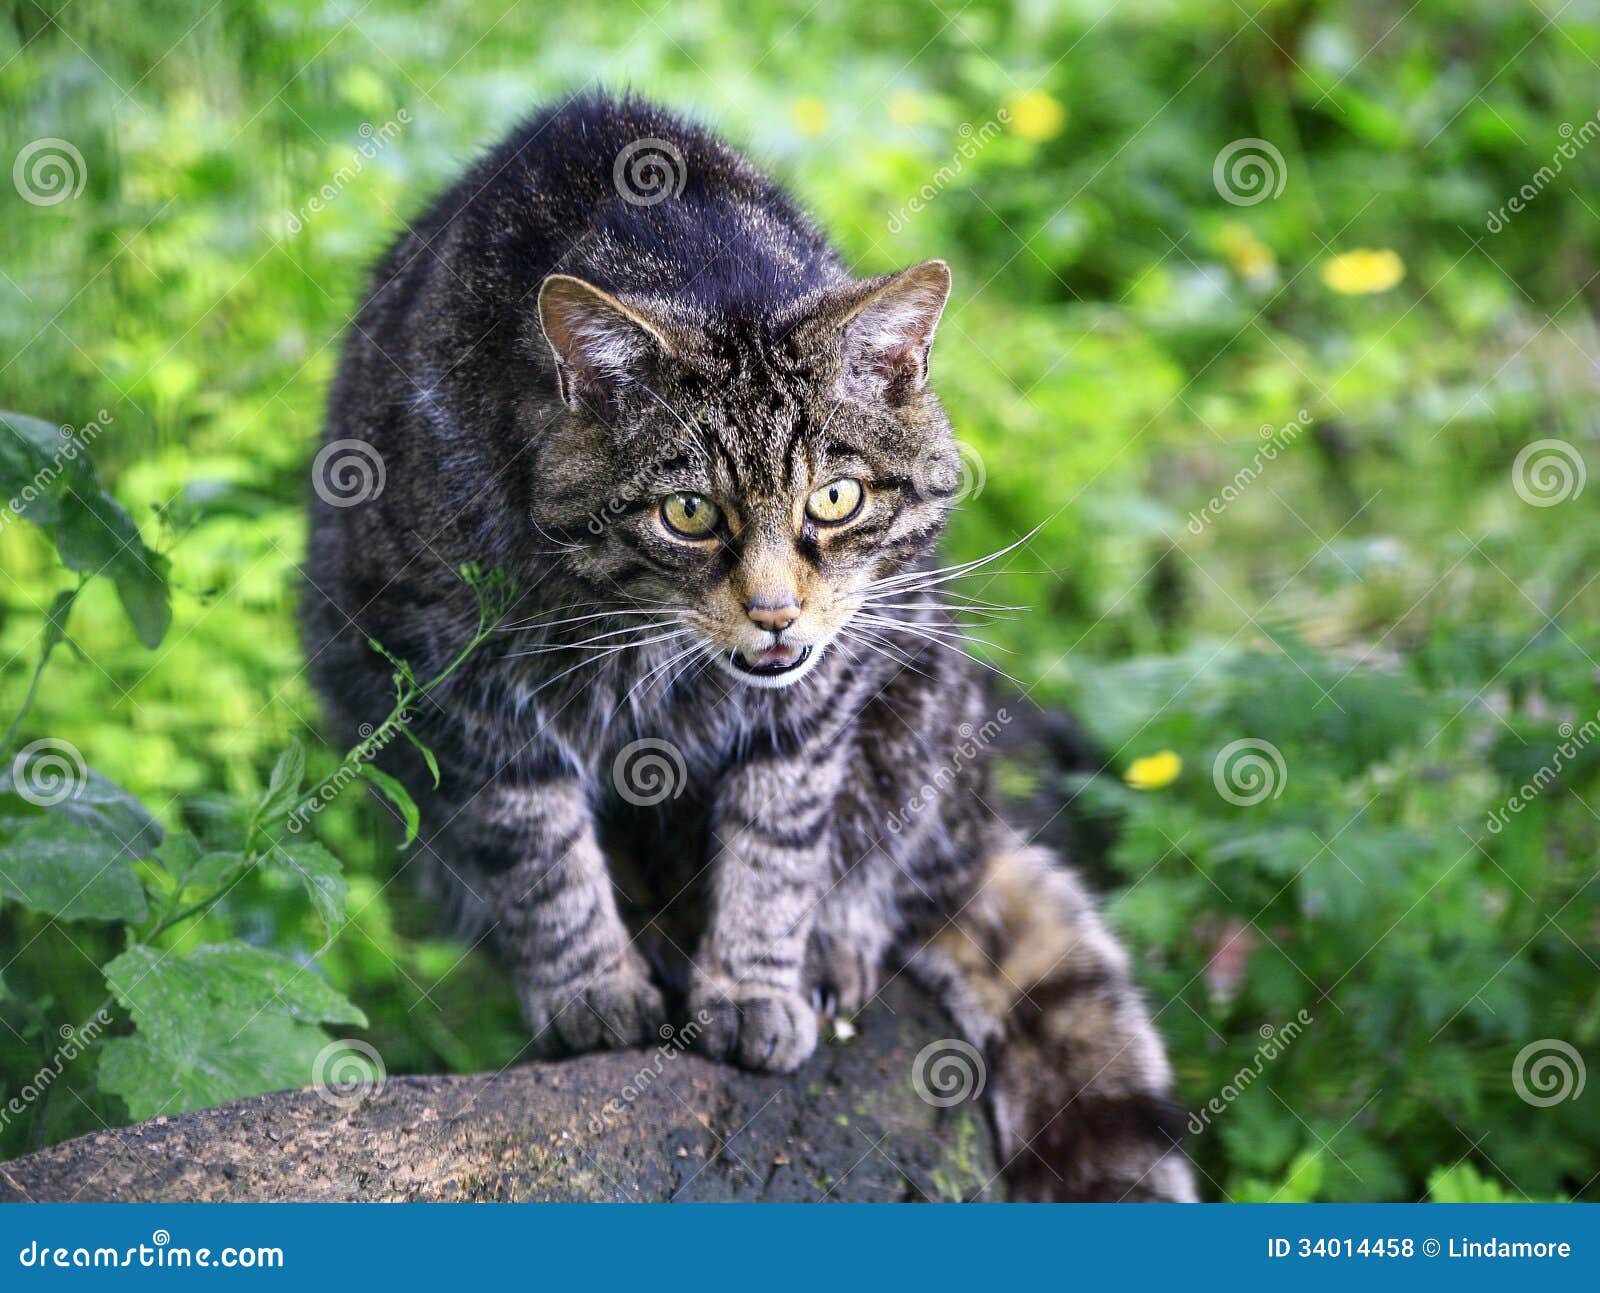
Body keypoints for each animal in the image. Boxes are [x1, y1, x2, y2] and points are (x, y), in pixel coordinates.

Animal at [305, 93, 1196, 1203]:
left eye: (836, 498)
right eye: (689, 514)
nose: (775, 613)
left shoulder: (814, 705)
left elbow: (778, 840)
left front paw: (754, 985)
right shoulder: (462, 680)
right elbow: (538, 848)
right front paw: (592, 985)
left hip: (924, 695)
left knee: (899, 863)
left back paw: (833, 944)